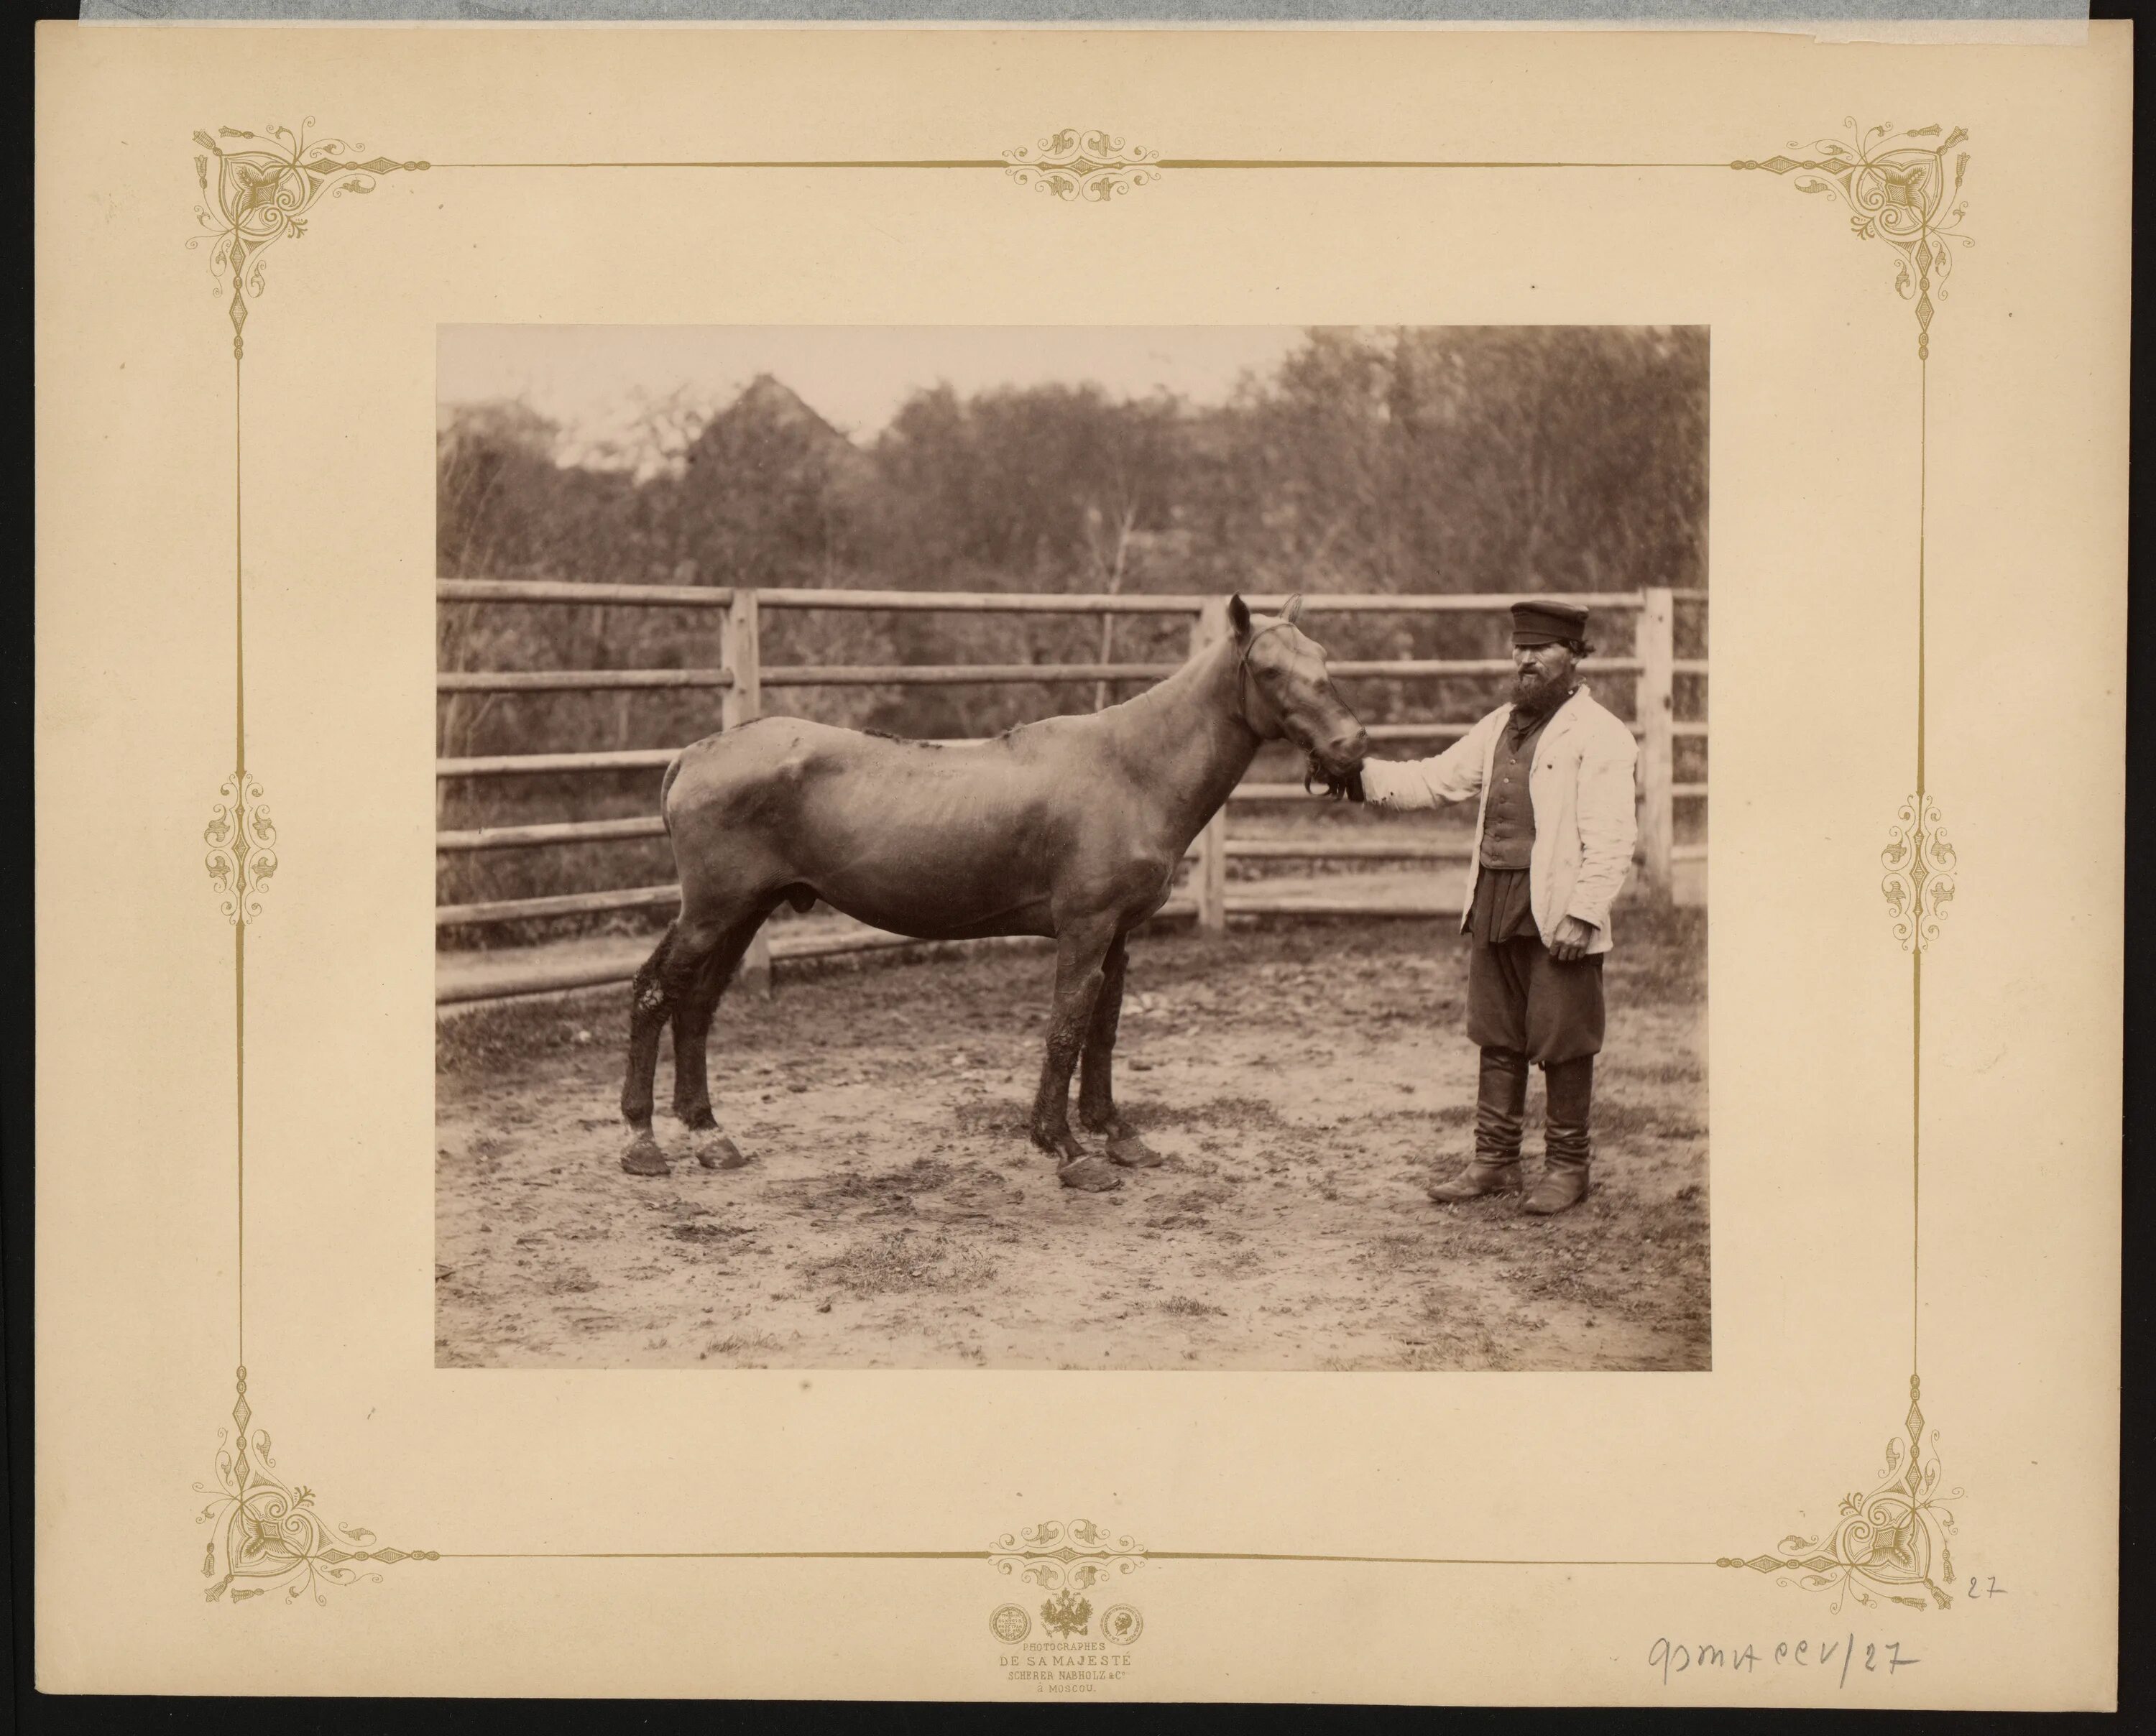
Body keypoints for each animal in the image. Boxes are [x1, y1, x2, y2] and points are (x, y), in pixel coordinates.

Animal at [617, 595, 1371, 1190]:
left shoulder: (1119, 933)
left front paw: (1118, 1136)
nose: (1352, 747)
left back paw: (710, 1136)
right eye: (1269, 671)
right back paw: (642, 1143)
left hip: (744, 913)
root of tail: (694, 756)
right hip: (712, 913)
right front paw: (1067, 1150)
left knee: (696, 1006)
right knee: (656, 994)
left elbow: (1102, 1030)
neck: (1132, 769)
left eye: (1323, 658)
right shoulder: (1085, 928)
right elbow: (1066, 1029)